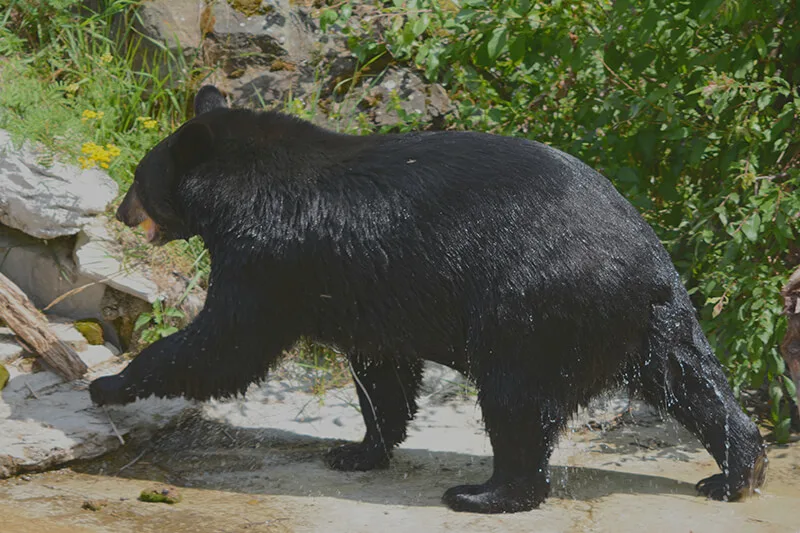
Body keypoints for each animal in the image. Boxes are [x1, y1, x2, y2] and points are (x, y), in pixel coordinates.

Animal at [90, 85, 764, 512]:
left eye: (138, 179)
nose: (118, 211)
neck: (238, 187)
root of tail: (647, 268)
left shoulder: (271, 257)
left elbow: (229, 342)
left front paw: (111, 383)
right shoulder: (366, 290)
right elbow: (382, 371)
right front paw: (357, 452)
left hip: (534, 312)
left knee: (516, 403)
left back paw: (485, 494)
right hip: (654, 326)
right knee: (695, 386)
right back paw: (736, 472)